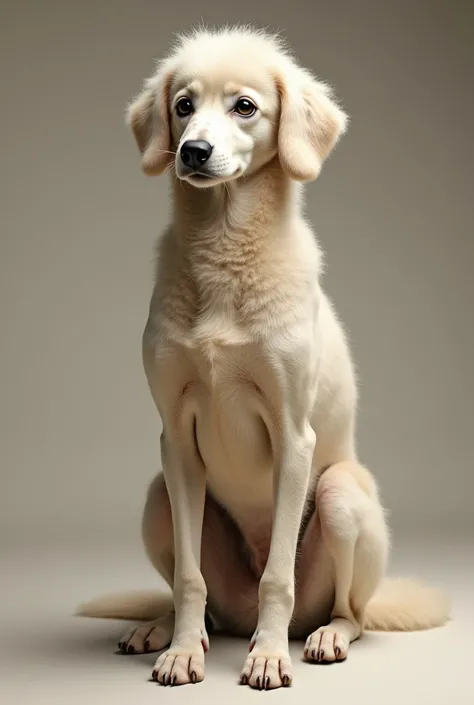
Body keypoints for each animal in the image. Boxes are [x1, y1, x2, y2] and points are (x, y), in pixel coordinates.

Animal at [78, 26, 452, 688]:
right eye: (183, 105)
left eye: (245, 107)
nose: (193, 152)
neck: (224, 248)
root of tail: (240, 614)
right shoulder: (175, 439)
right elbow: (189, 577)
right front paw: (183, 651)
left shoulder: (291, 435)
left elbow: (278, 574)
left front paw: (270, 654)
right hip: (158, 498)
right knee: (204, 601)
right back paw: (165, 628)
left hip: (340, 496)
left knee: (349, 610)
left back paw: (321, 635)